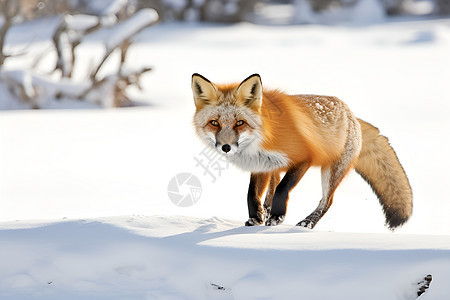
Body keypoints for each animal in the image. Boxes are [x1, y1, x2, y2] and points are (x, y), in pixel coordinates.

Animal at [190, 73, 412, 230]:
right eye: (214, 123)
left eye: (240, 123)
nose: (226, 147)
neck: (263, 138)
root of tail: (352, 115)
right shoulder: (260, 165)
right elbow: (251, 194)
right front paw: (256, 218)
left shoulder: (304, 158)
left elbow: (282, 189)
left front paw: (277, 217)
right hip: (276, 167)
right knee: (272, 189)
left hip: (331, 171)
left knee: (326, 201)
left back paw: (306, 224)